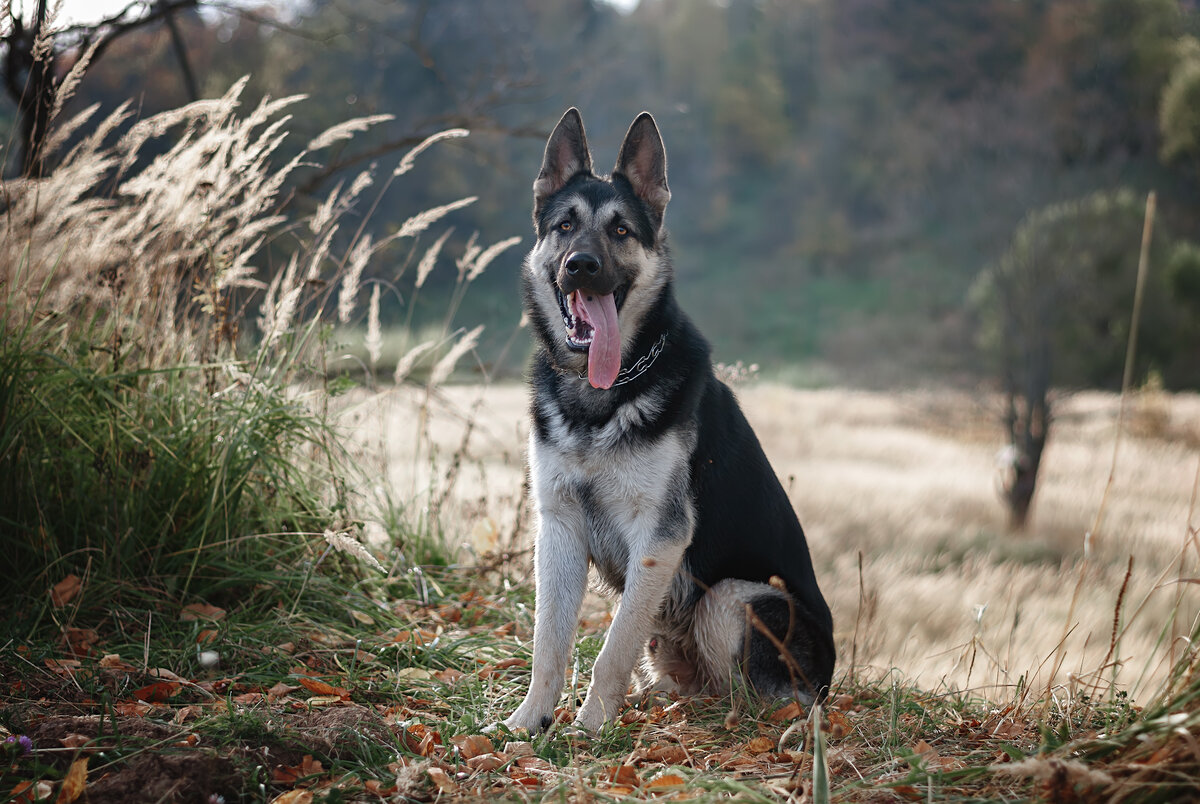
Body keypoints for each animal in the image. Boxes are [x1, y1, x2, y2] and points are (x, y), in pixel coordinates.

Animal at [504, 108, 835, 739]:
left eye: (621, 232)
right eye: (564, 226)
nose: (580, 266)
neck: (602, 394)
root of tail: (829, 680)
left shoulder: (659, 538)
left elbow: (612, 647)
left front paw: (590, 727)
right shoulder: (558, 528)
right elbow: (548, 642)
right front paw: (529, 721)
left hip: (736, 598)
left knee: (755, 697)